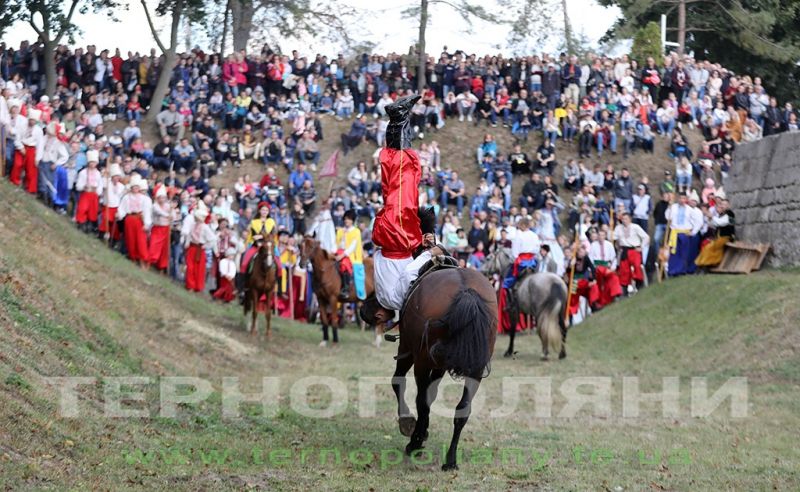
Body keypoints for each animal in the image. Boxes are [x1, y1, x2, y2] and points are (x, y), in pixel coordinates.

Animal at [392, 268, 496, 470]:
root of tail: (465, 290)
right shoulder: (439, 366)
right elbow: (432, 395)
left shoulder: (408, 350)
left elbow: (400, 383)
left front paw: (412, 428)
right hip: (476, 370)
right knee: (462, 410)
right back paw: (450, 459)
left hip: (421, 361)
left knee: (422, 401)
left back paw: (415, 443)